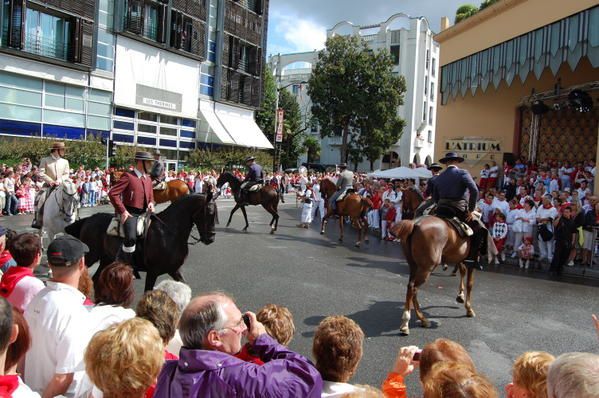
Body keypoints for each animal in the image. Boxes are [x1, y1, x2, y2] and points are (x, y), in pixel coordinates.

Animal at [65, 192, 218, 290]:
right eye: (209, 213)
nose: (210, 238)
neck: (169, 233)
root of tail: (89, 219)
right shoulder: (153, 272)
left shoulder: (174, 270)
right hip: (90, 257)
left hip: (106, 259)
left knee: (96, 279)